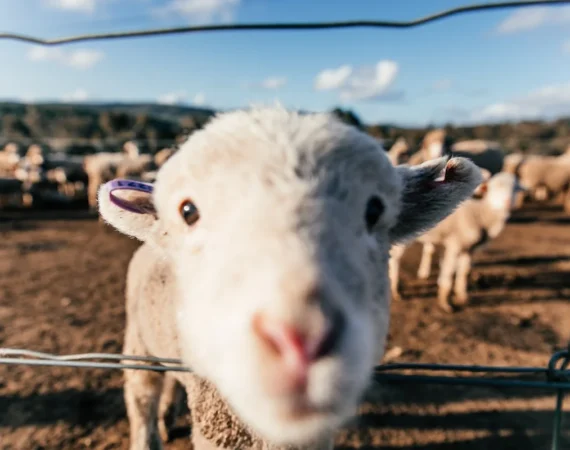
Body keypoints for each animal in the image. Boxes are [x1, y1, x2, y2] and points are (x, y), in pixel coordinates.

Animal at [388, 170, 520, 312]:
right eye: (495, 187)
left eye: (515, 189)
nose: (507, 202)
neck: (480, 213)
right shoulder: (454, 243)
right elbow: (449, 272)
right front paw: (445, 303)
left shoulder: (468, 248)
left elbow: (464, 271)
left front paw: (462, 296)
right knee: (394, 259)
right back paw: (395, 290)